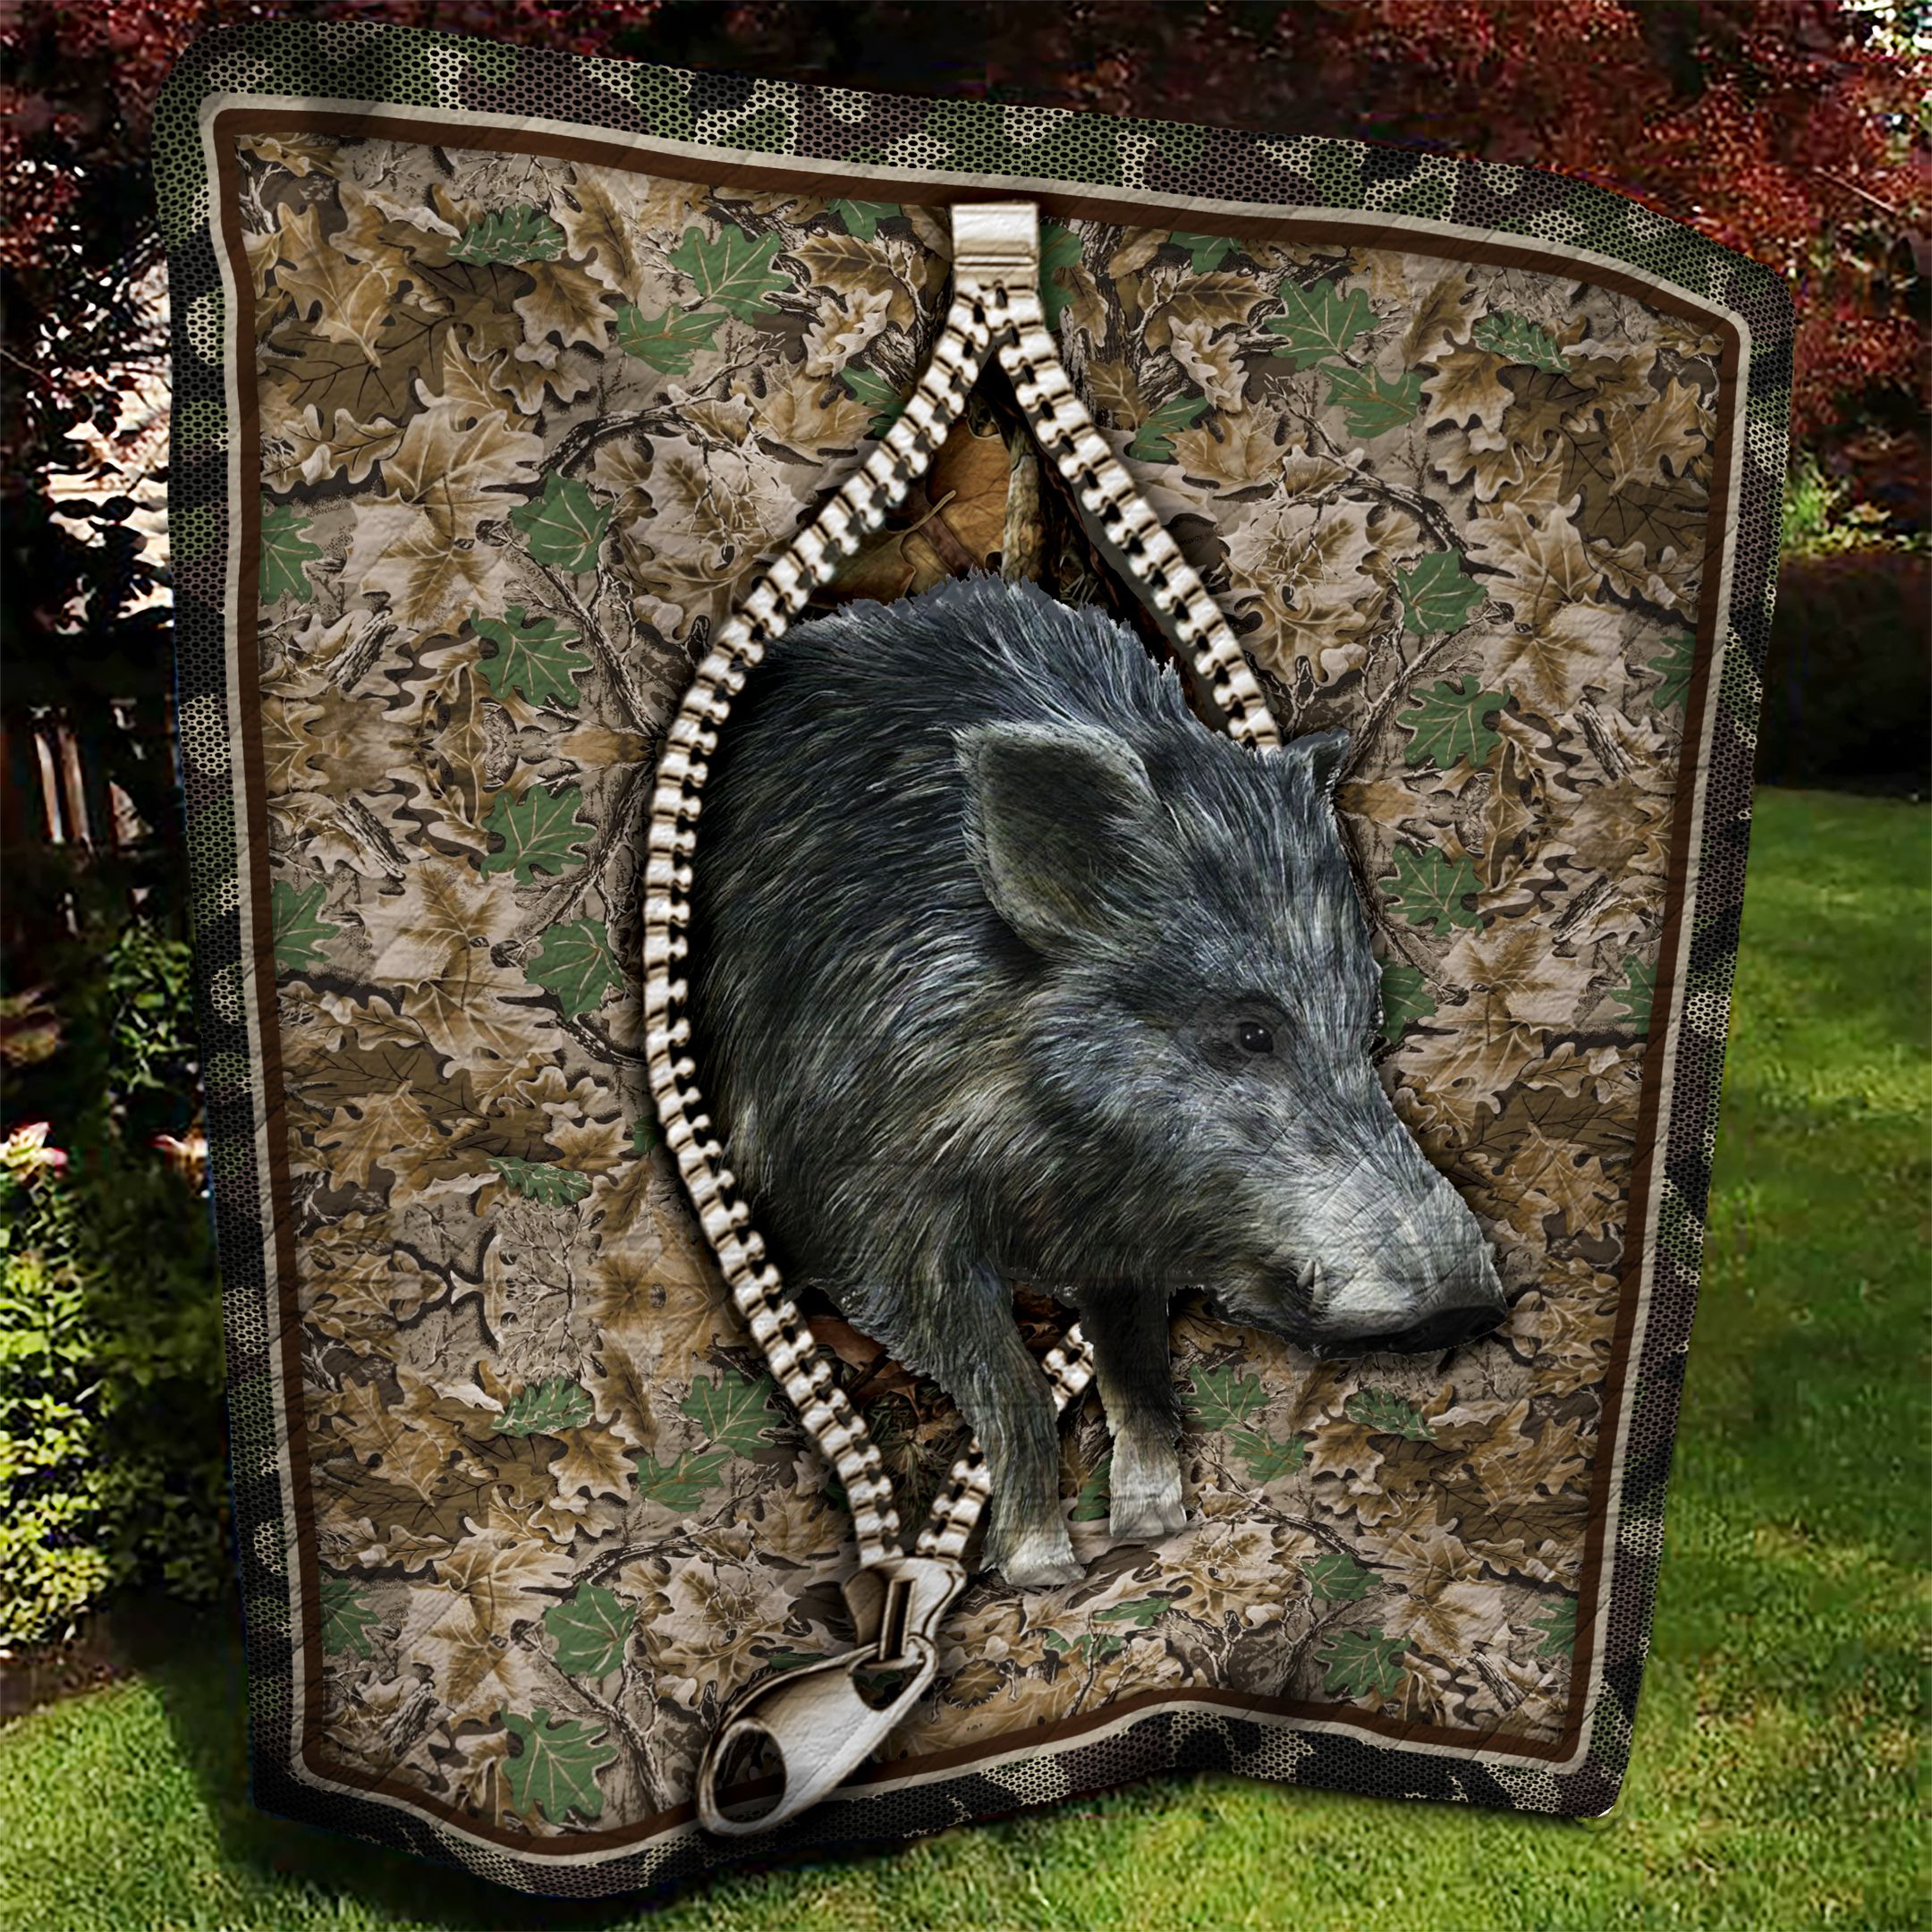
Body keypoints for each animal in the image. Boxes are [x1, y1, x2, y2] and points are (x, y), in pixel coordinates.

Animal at [685, 572, 1507, 1589]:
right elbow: (1009, 1382)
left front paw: (1154, 1525)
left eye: (1366, 1025)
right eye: (1250, 1031)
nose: (1468, 1304)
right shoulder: (866, 1212)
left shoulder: (1120, 1239)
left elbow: (1139, 1366)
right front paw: (1044, 1570)